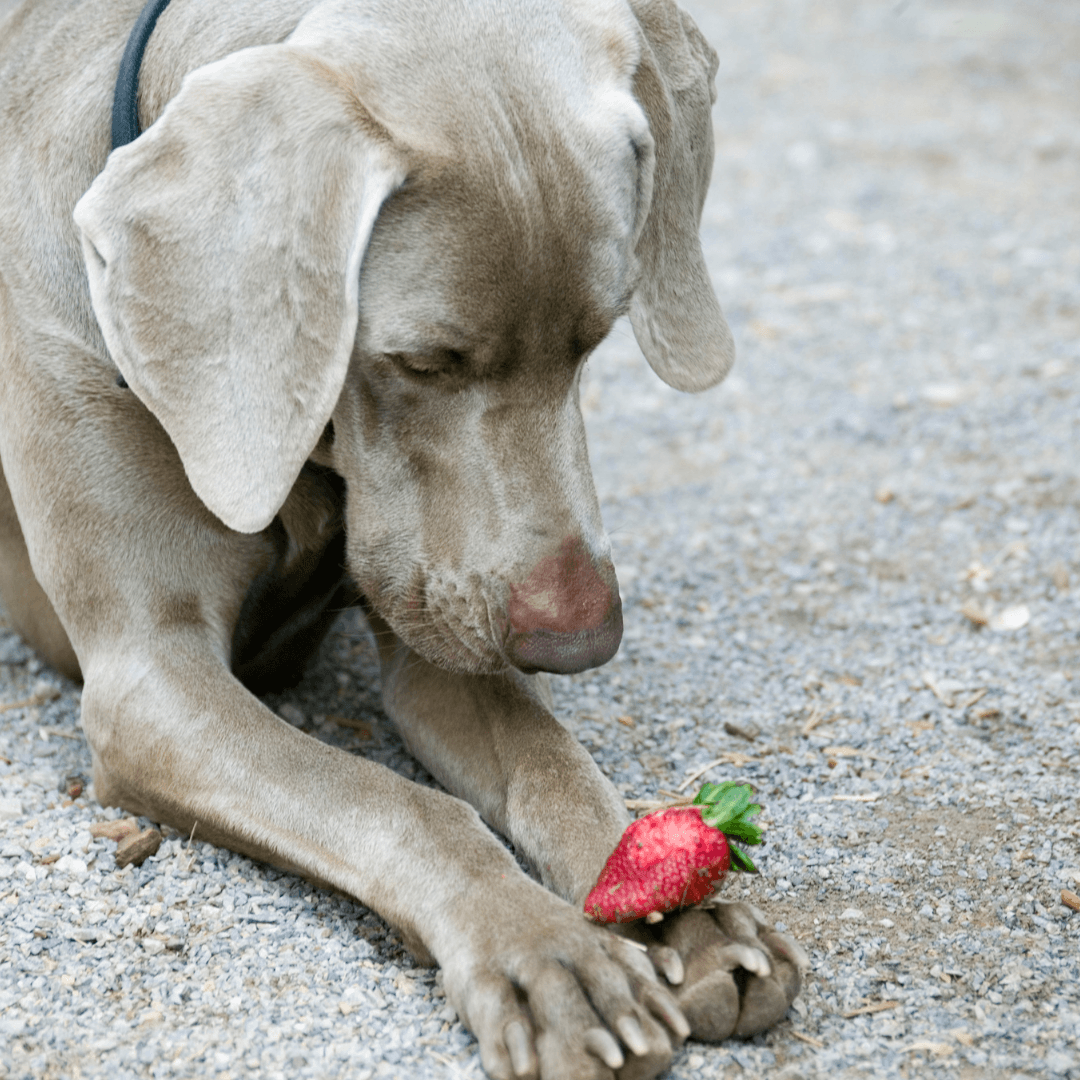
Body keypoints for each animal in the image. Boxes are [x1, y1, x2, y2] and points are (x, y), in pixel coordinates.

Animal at [0, 0, 803, 1075]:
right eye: (424, 360)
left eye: (597, 338)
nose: (579, 644)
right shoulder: (151, 685)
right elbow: (399, 804)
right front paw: (545, 949)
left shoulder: (443, 627)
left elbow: (551, 762)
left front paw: (685, 905)